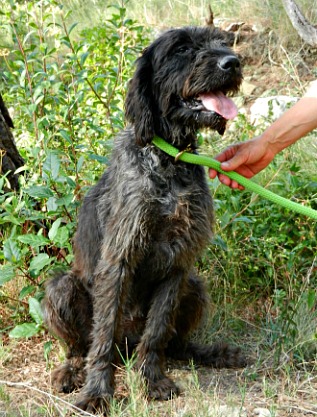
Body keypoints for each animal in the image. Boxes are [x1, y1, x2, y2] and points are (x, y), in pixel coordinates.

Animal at [43, 26, 243, 412]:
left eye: (220, 41)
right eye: (181, 49)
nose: (233, 62)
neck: (169, 159)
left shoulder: (178, 263)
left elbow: (158, 331)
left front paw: (151, 380)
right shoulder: (118, 259)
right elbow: (102, 337)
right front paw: (97, 392)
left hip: (194, 286)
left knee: (175, 344)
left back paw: (209, 353)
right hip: (62, 288)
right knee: (80, 347)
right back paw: (71, 371)